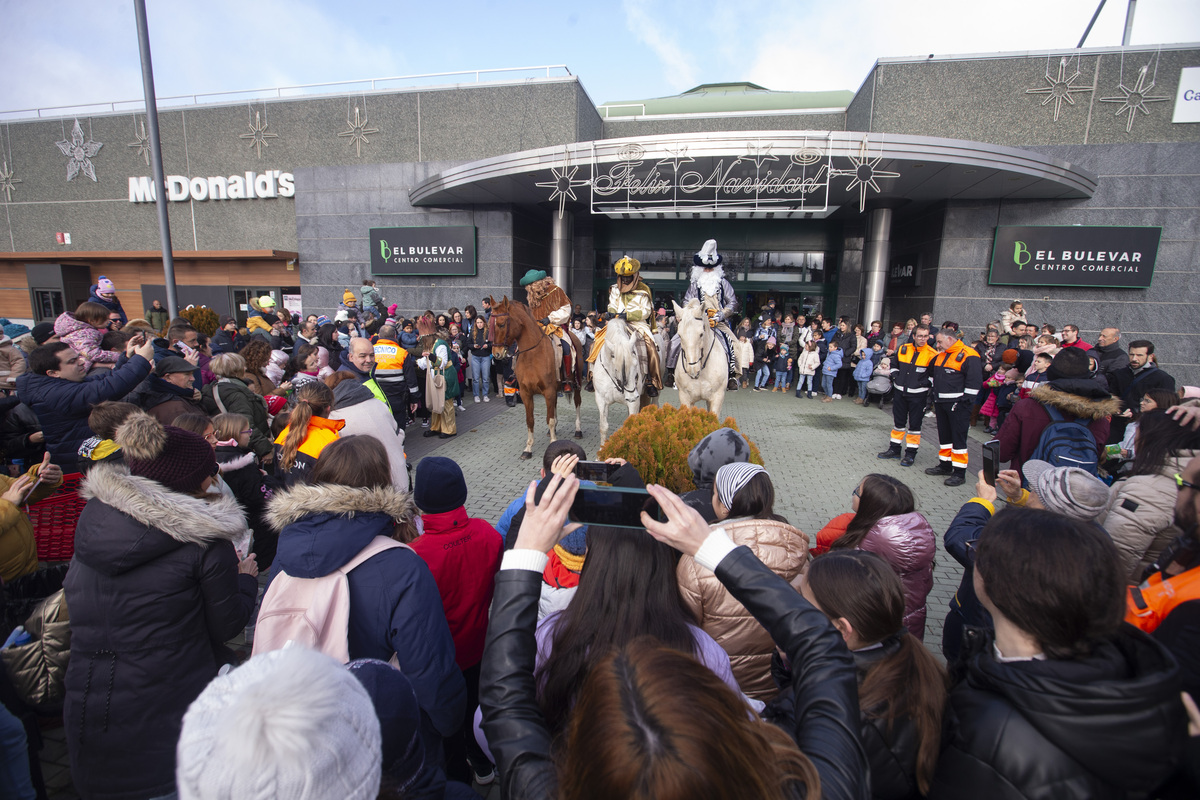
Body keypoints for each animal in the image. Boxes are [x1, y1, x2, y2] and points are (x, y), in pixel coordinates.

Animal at [484, 296, 583, 460]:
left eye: (502, 324)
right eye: (489, 325)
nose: (496, 353)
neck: (533, 354)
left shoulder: (548, 391)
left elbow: (549, 419)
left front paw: (553, 443)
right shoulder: (526, 393)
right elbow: (530, 420)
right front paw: (528, 448)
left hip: (576, 384)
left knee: (577, 403)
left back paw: (578, 430)